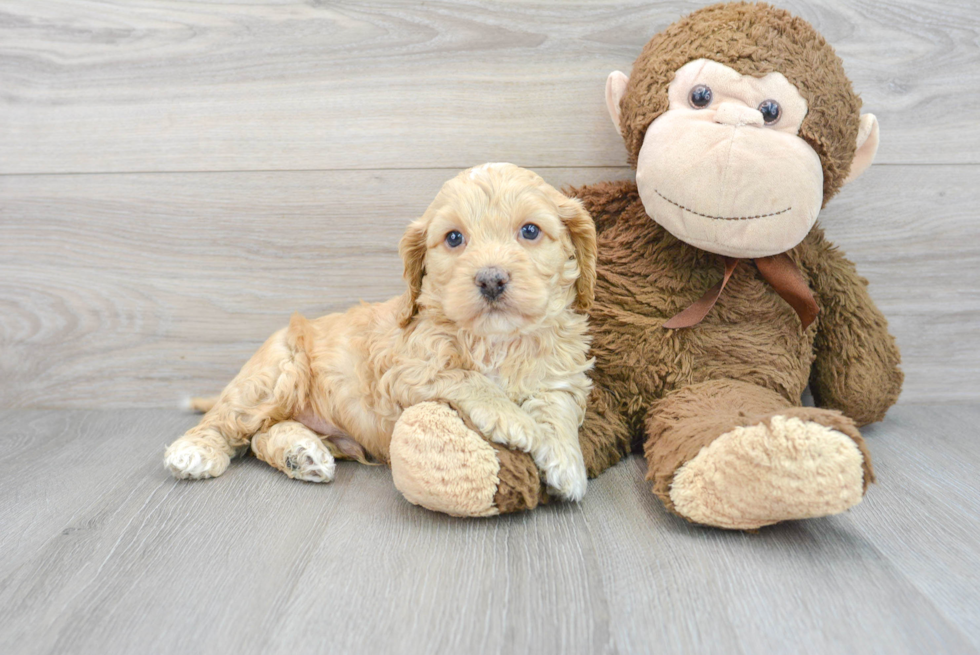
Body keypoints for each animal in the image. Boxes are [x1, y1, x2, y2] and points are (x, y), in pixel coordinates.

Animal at [165, 164, 596, 502]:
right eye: (454, 238)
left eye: (530, 231)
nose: (491, 280)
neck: (495, 339)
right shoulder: (407, 372)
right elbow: (468, 377)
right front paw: (517, 422)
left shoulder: (560, 374)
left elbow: (558, 408)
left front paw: (566, 462)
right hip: (274, 374)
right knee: (229, 421)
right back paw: (193, 451)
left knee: (260, 435)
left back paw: (302, 454)